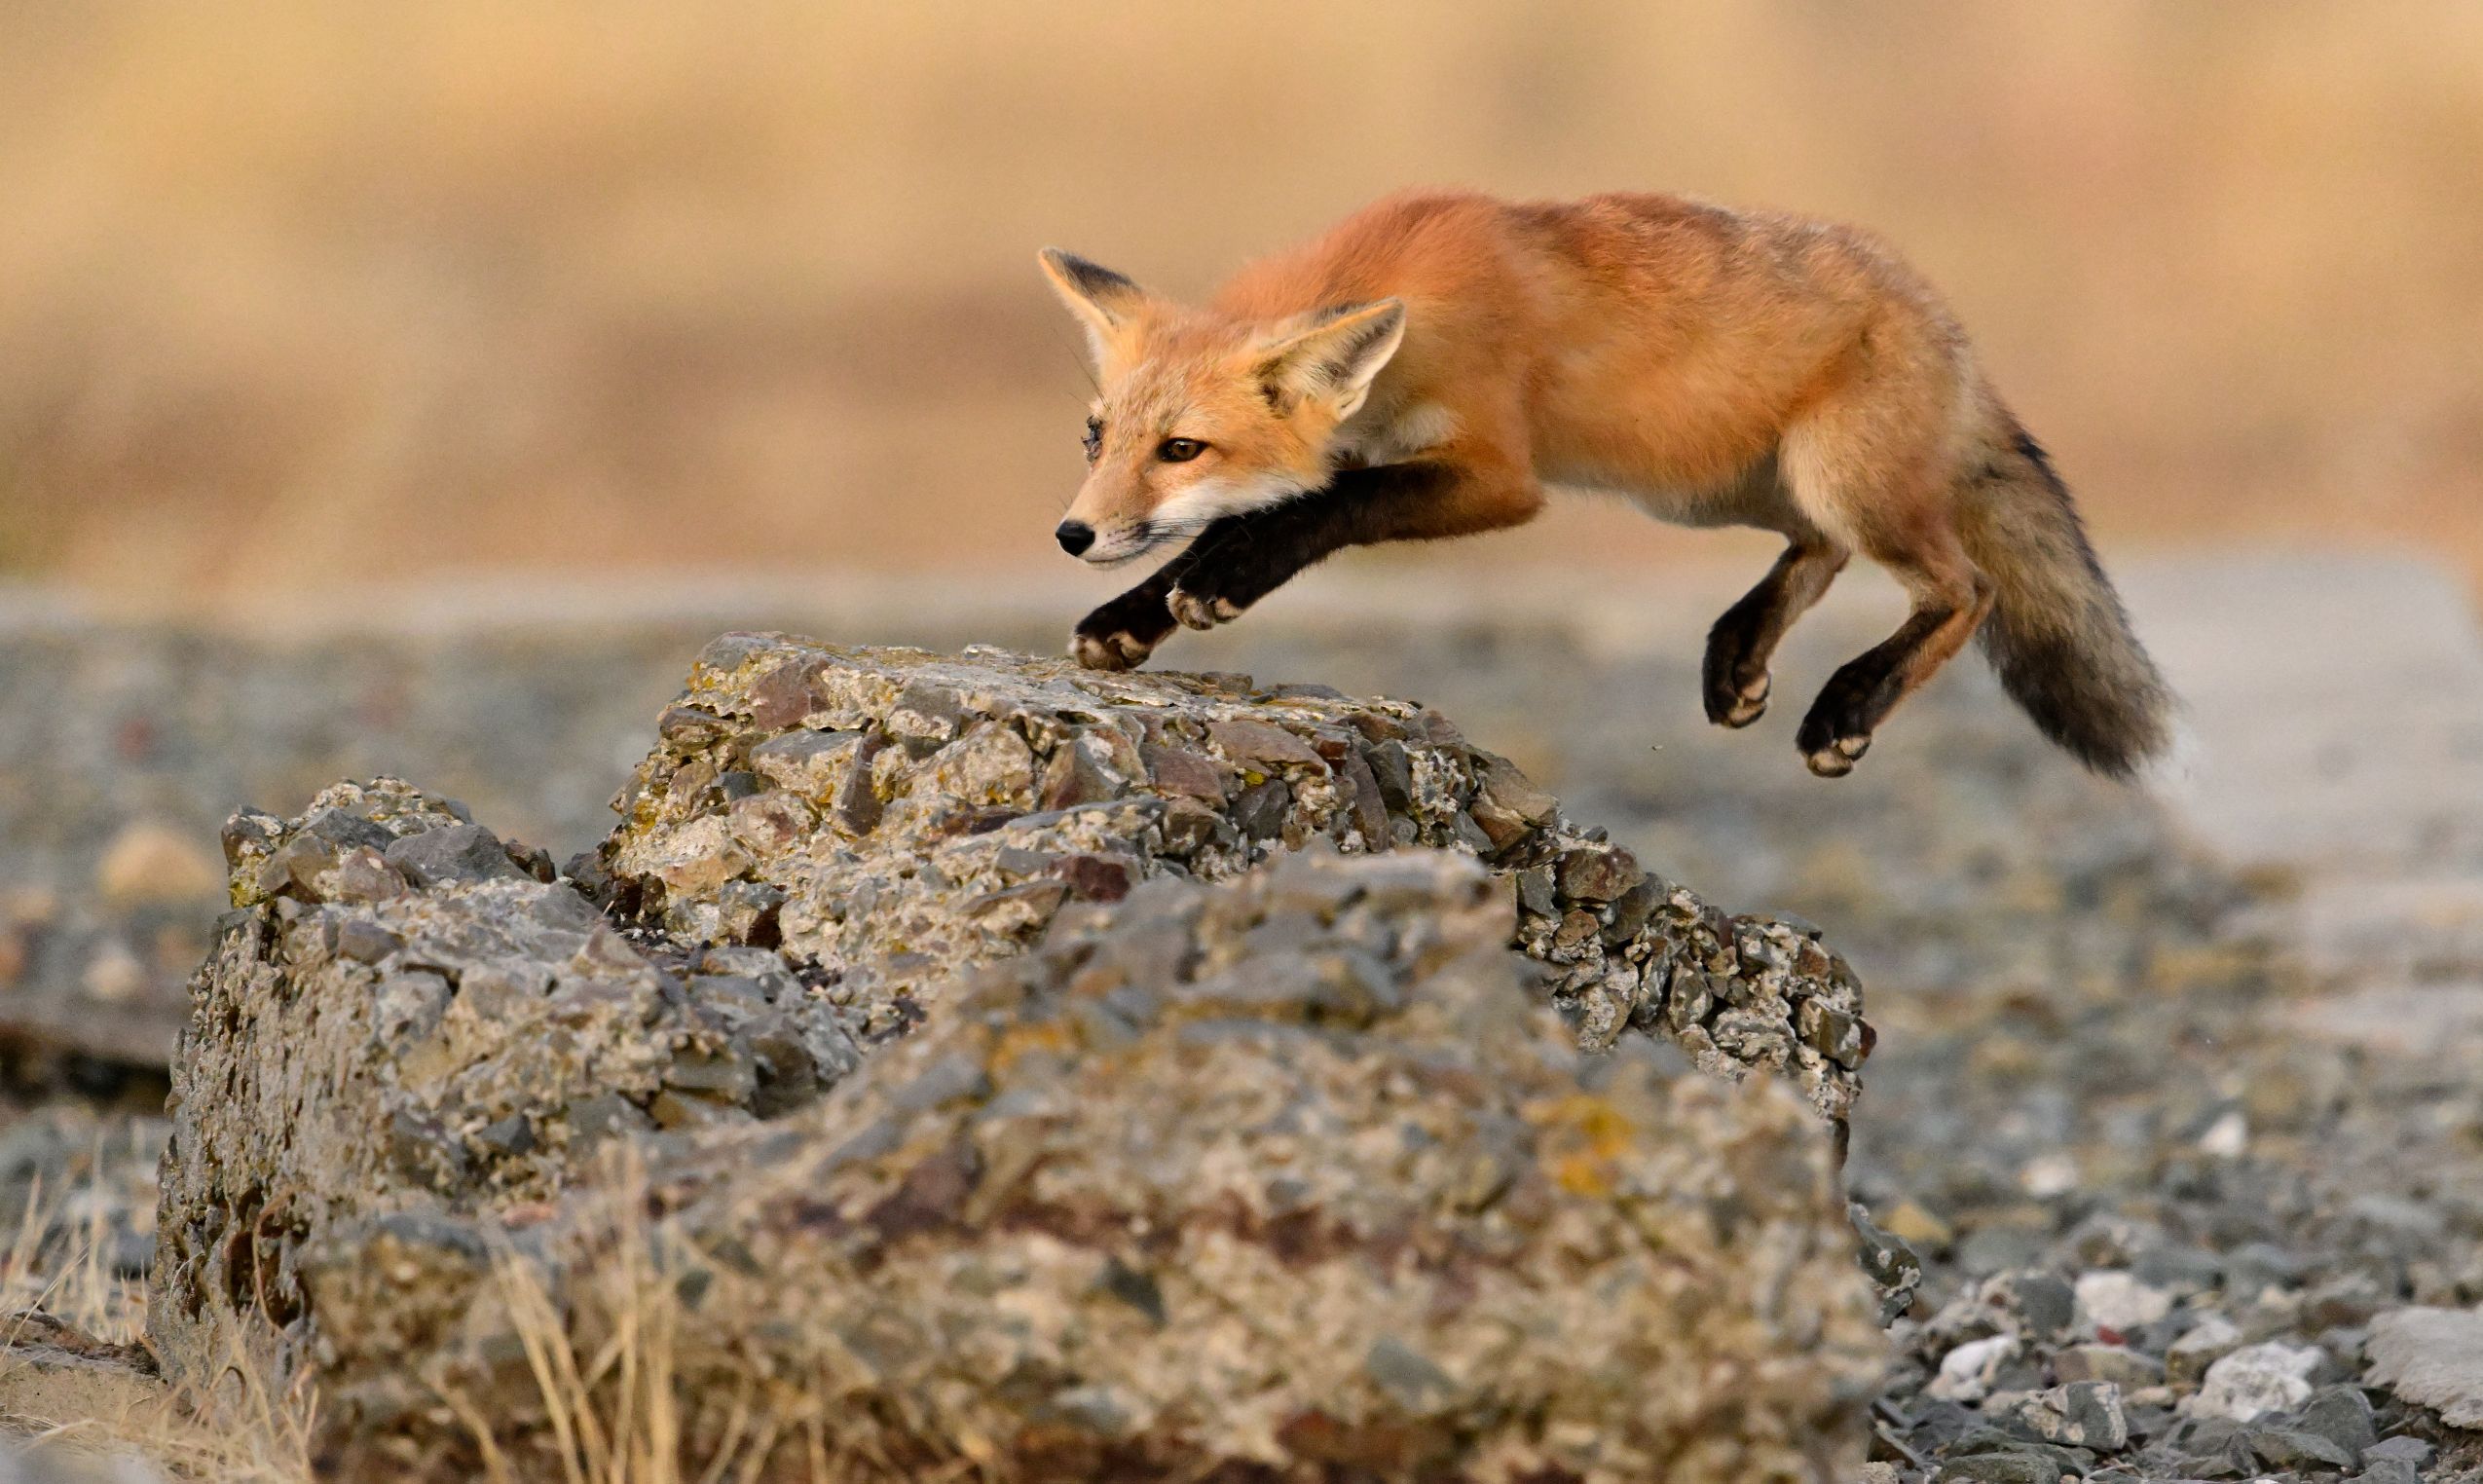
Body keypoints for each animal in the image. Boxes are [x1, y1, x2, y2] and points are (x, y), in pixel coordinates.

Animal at [1038, 189, 2175, 778]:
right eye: (1095, 438)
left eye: (1182, 450)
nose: (1071, 536)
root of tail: (1946, 321)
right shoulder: (1371, 450)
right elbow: (1244, 522)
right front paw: (1133, 616)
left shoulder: (1497, 476)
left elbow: (1322, 507)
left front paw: (1212, 585)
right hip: (1718, 486)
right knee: (1821, 553)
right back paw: (1740, 654)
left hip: (1829, 474)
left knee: (1961, 587)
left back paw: (1848, 705)